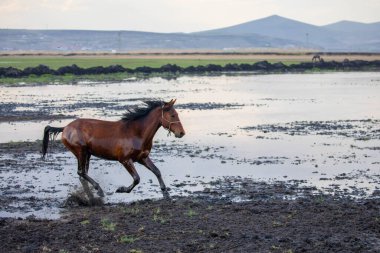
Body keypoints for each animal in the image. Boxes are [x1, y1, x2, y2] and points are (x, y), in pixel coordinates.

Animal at [42, 99, 185, 198]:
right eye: (173, 115)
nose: (182, 133)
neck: (136, 133)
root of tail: (65, 128)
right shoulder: (125, 160)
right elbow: (137, 178)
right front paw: (122, 189)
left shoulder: (142, 158)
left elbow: (157, 171)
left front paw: (165, 193)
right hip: (81, 152)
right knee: (81, 172)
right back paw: (99, 190)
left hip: (87, 154)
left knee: (83, 174)